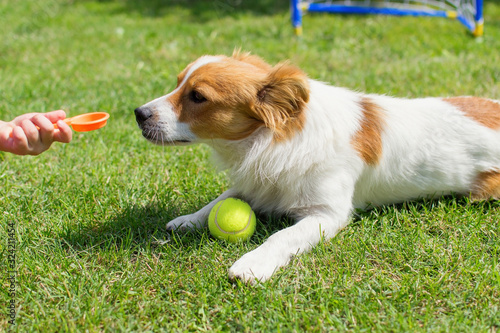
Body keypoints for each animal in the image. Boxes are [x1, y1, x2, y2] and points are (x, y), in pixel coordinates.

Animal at [134, 51, 500, 282]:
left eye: (198, 97)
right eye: (177, 82)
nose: (138, 112)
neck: (270, 140)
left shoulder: (326, 214)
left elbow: (281, 236)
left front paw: (253, 264)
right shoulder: (257, 184)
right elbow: (220, 199)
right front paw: (188, 220)